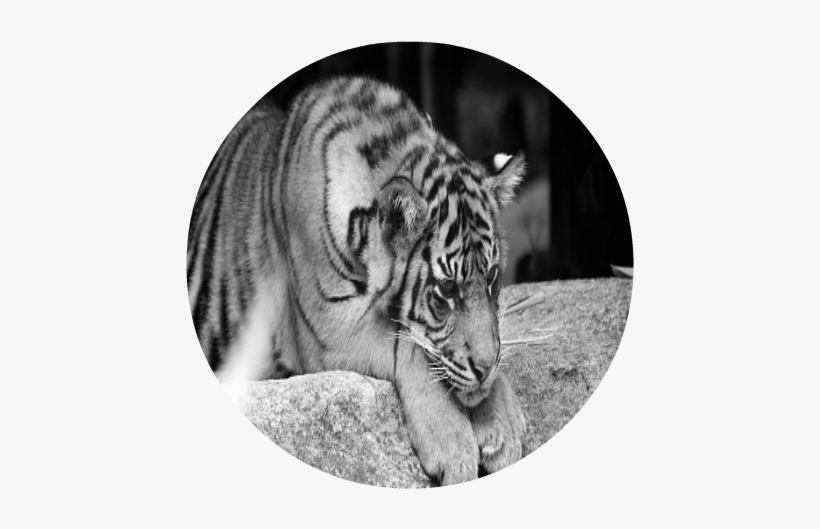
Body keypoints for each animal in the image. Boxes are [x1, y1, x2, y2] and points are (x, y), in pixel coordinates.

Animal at [187, 76, 527, 485]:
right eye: (447, 289)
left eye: (491, 276)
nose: (485, 369)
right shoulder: (324, 331)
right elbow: (408, 346)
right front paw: (455, 446)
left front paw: (502, 423)